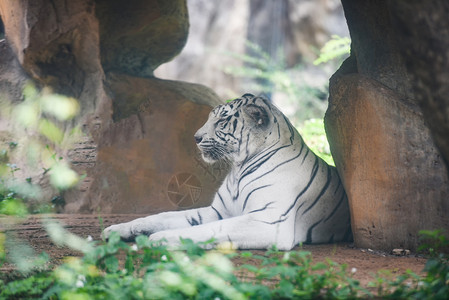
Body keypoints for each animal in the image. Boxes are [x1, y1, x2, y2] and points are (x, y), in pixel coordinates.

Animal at [103, 94, 352, 251]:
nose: (196, 137)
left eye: (221, 120)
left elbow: (209, 229)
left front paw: (159, 239)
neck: (238, 169)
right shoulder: (218, 211)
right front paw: (121, 228)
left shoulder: (269, 221)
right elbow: (164, 216)